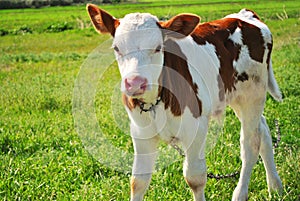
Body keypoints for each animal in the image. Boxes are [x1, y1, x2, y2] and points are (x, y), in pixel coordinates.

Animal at [87, 4, 284, 201]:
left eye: (158, 48)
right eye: (116, 48)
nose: (135, 83)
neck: (156, 102)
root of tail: (244, 15)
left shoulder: (195, 129)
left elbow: (194, 178)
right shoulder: (141, 133)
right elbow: (138, 181)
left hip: (253, 95)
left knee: (251, 143)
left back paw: (240, 193)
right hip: (237, 97)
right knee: (263, 131)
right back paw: (275, 186)